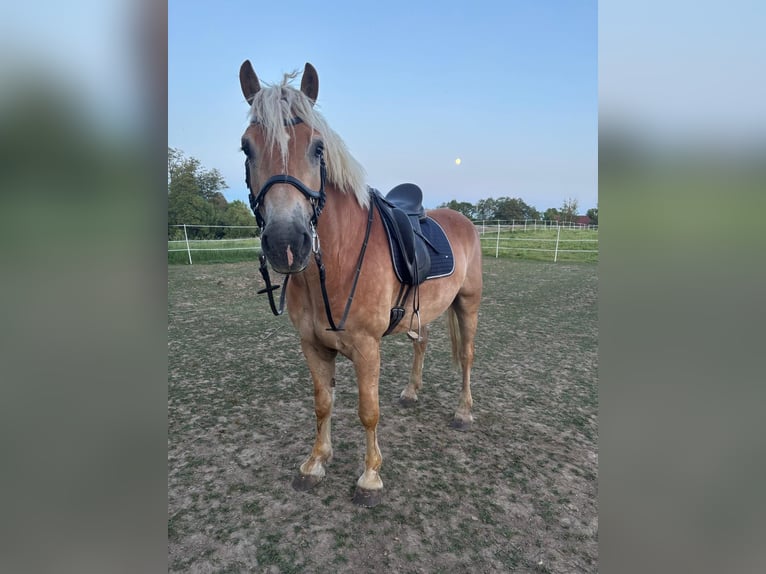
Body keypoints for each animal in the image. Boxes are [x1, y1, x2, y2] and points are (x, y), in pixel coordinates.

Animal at [239, 60, 483, 507]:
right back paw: (411, 392)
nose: (286, 242)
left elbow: (368, 410)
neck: (338, 258)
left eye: (318, 147)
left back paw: (463, 412)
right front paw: (315, 463)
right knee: (422, 344)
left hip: (468, 304)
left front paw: (370, 477)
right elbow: (322, 403)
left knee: (468, 356)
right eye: (247, 147)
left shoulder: (368, 349)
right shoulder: (313, 346)